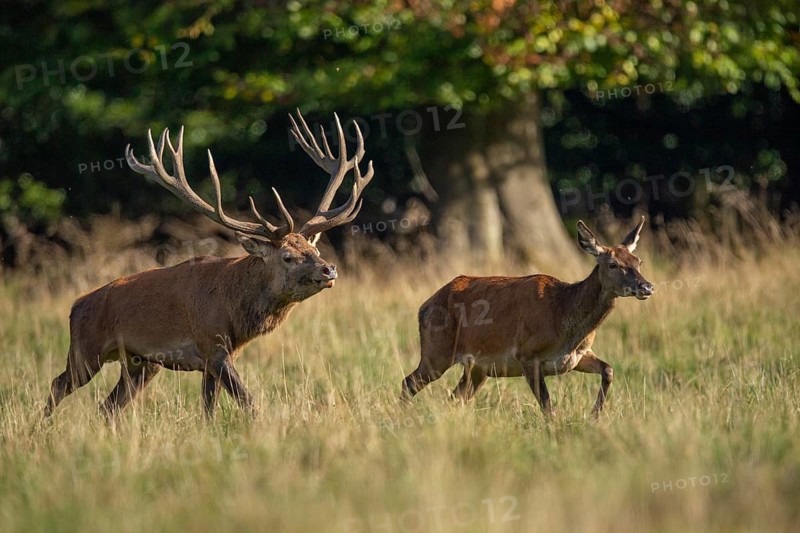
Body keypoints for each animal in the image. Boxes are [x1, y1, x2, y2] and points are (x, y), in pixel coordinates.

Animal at [43, 110, 374, 418]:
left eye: (312, 248)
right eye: (287, 257)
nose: (328, 269)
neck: (234, 307)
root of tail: (76, 307)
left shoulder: (214, 358)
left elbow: (209, 409)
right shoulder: (212, 344)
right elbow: (247, 402)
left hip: (141, 363)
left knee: (107, 407)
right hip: (86, 349)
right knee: (58, 384)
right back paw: (42, 428)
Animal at [401, 217, 653, 417]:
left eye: (638, 262)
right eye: (613, 264)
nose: (647, 286)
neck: (564, 318)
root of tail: (424, 306)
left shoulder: (578, 356)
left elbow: (608, 370)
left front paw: (594, 416)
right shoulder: (527, 355)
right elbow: (548, 407)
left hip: (478, 368)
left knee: (454, 398)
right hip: (437, 351)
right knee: (408, 382)